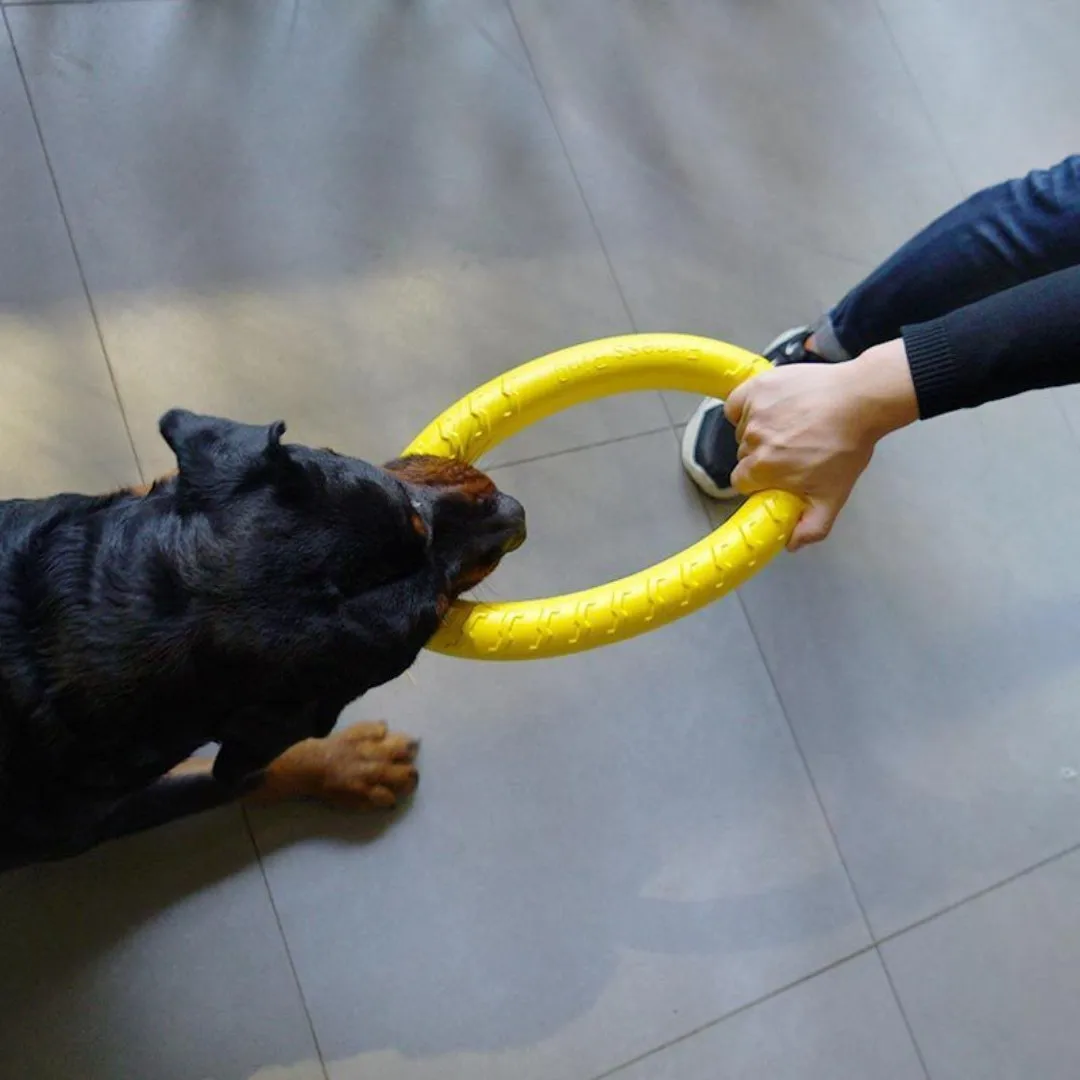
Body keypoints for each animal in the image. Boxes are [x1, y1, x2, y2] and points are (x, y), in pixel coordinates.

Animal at [0, 408, 527, 872]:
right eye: (432, 614)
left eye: (410, 509)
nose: (516, 516)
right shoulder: (80, 822)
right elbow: (233, 778)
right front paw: (346, 763)